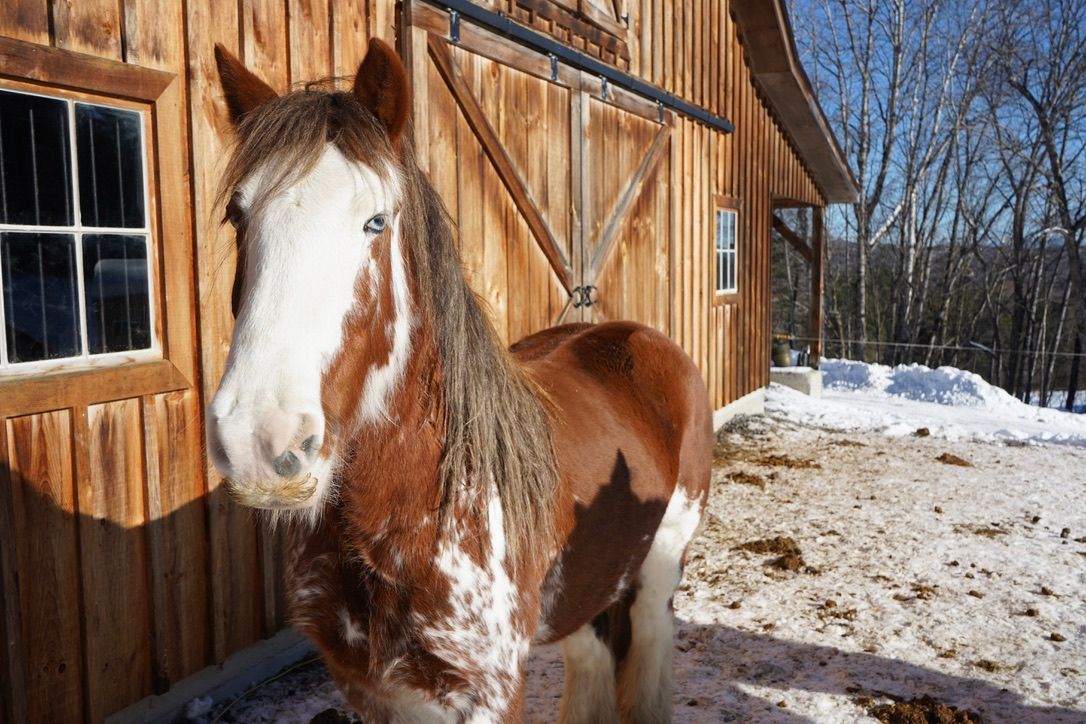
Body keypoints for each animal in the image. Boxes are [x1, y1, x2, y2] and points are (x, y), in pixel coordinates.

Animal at [207, 38, 712, 723]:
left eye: (376, 221)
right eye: (238, 216)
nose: (260, 437)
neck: (410, 519)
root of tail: (638, 339)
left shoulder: (489, 692)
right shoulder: (371, 692)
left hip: (659, 573)